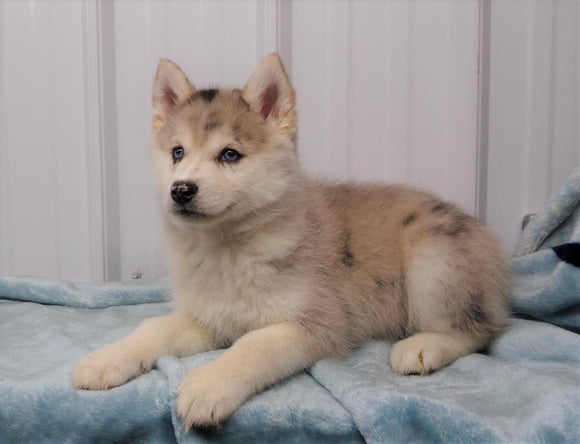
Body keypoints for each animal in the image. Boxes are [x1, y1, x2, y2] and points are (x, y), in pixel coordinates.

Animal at [72, 53, 508, 430]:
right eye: (177, 152)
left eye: (229, 155)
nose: (180, 189)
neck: (227, 251)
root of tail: (483, 235)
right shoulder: (209, 317)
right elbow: (153, 329)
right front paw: (107, 359)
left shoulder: (314, 325)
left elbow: (252, 347)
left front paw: (208, 385)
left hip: (432, 259)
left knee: (480, 330)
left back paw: (422, 347)